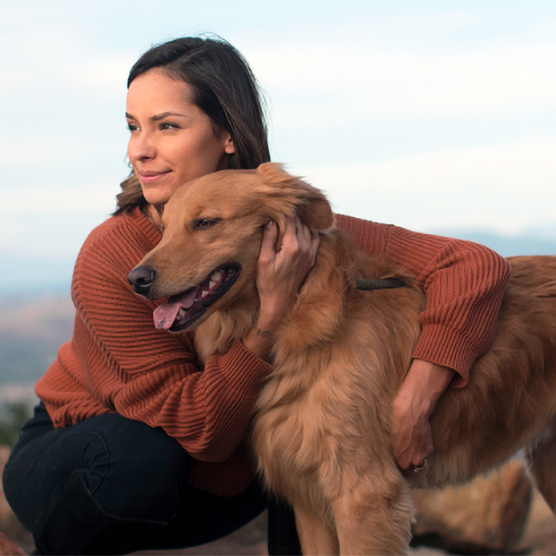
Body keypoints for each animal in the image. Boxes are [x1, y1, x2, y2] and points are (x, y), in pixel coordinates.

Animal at [128, 162, 556, 556]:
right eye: (165, 228)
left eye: (205, 222)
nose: (136, 279)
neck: (302, 317)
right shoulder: (310, 501)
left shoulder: (364, 496)